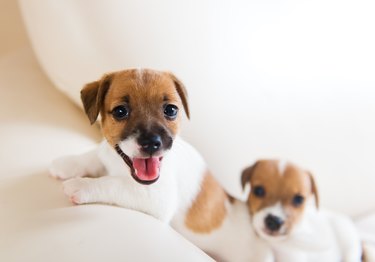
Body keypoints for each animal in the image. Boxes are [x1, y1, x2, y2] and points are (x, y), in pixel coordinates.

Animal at [49, 68, 270, 260]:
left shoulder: (156, 198)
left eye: (171, 110)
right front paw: (67, 163)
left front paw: (82, 185)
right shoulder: (107, 154)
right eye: (120, 111)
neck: (122, 167)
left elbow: (112, 183)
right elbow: (95, 155)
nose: (151, 143)